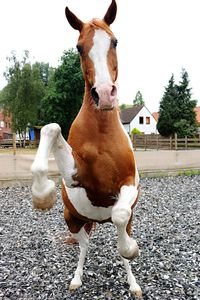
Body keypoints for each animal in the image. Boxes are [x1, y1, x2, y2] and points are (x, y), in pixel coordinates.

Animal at [30, 0, 141, 296]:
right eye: (79, 47)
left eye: (114, 41)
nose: (103, 94)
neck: (101, 131)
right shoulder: (76, 176)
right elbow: (51, 128)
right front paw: (42, 194)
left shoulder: (128, 183)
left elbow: (120, 216)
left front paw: (131, 250)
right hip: (73, 220)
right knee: (84, 246)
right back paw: (77, 278)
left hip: (124, 221)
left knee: (121, 241)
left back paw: (133, 282)